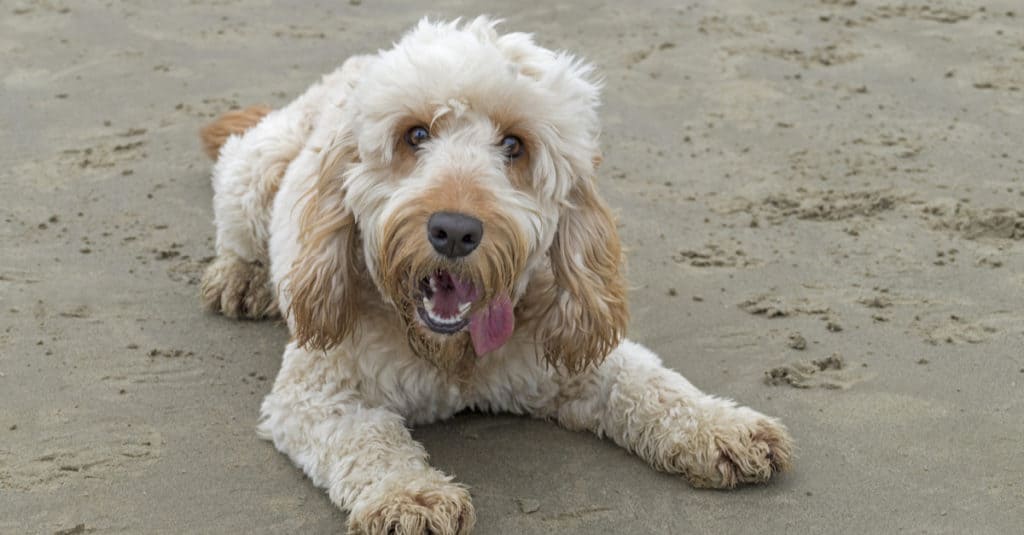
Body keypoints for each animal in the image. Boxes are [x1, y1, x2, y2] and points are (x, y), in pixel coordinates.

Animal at [197, 16, 790, 532]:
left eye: (513, 145)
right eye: (415, 135)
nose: (455, 230)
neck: (450, 352)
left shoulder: (573, 361)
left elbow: (652, 385)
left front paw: (721, 426)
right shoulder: (317, 393)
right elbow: (367, 440)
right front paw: (409, 494)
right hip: (257, 167)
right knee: (235, 223)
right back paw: (240, 277)